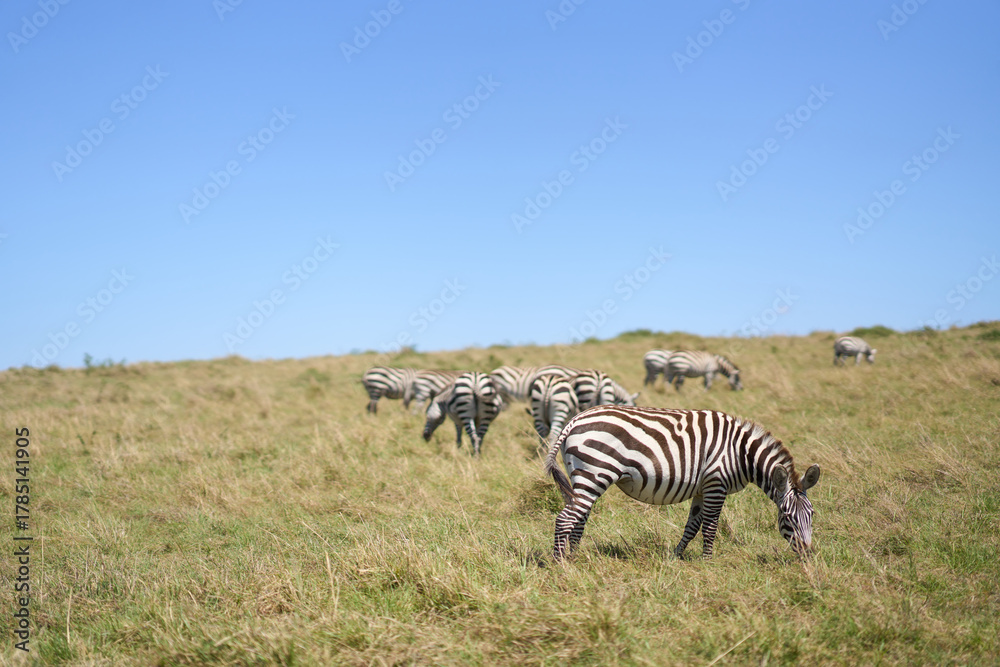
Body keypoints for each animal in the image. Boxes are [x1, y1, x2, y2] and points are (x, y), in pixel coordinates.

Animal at [544, 405, 821, 560]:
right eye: (787, 516)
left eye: (812, 515)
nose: (807, 555)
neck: (740, 453)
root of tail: (576, 419)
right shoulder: (716, 484)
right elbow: (710, 527)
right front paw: (708, 562)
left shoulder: (701, 489)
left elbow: (692, 526)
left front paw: (676, 556)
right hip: (594, 473)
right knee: (565, 518)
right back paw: (560, 564)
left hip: (583, 478)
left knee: (578, 517)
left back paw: (574, 557)